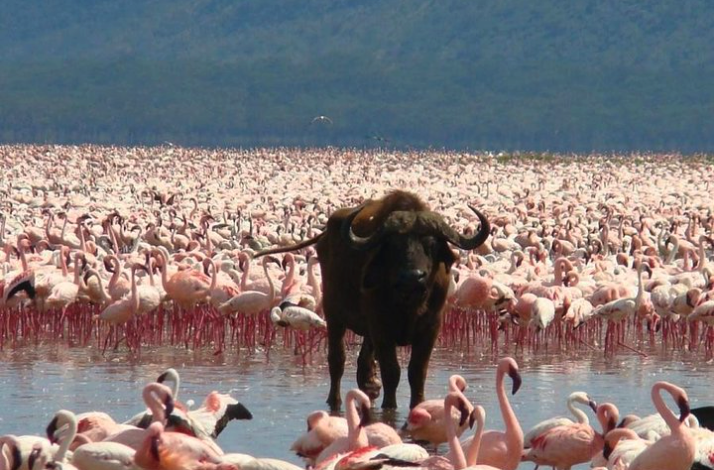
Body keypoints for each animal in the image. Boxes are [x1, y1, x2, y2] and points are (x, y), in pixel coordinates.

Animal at [257, 190, 489, 410]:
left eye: (430, 244)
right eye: (394, 246)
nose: (412, 277)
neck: (408, 303)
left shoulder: (431, 326)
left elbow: (417, 372)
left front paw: (417, 405)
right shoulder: (380, 326)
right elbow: (391, 371)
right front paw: (389, 406)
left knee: (363, 363)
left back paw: (368, 388)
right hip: (334, 316)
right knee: (337, 360)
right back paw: (335, 400)